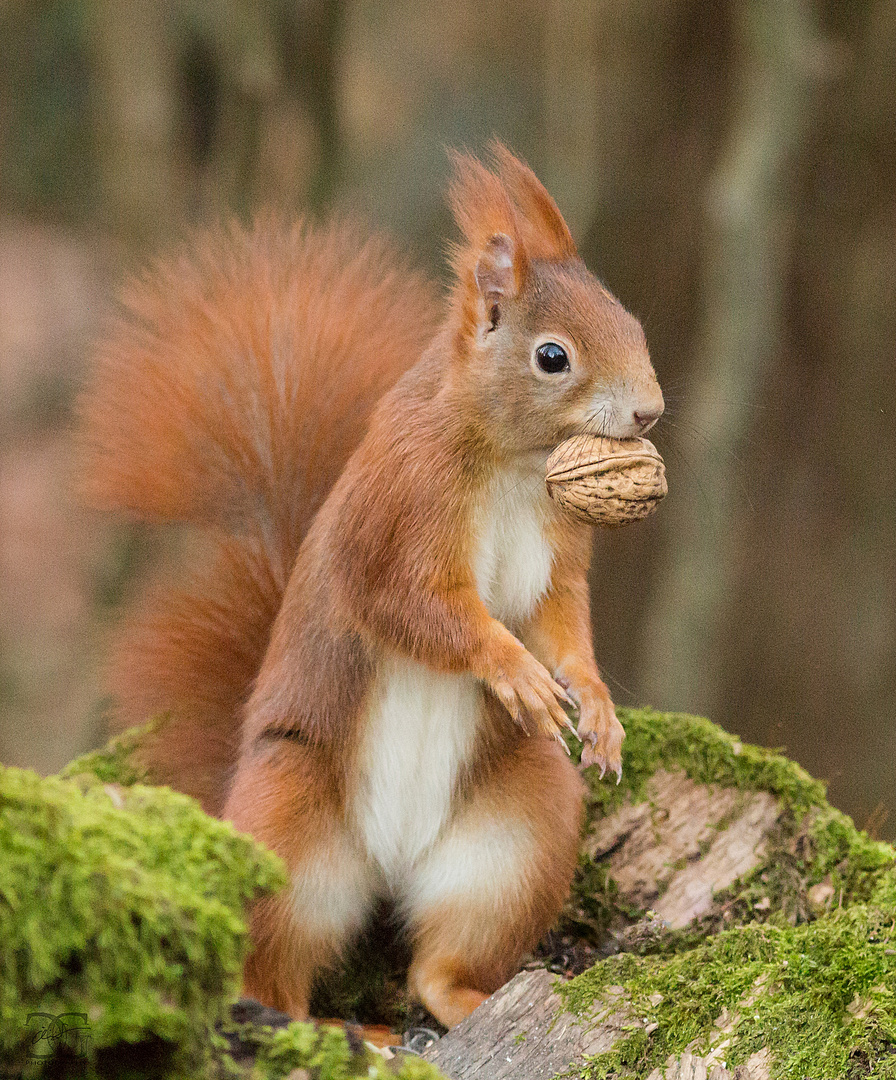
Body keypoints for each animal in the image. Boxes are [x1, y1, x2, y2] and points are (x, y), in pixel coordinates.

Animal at [78, 145, 664, 1028]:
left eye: (630, 320)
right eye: (553, 356)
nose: (650, 411)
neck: (514, 466)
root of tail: (392, 863)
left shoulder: (558, 554)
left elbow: (562, 625)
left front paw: (594, 707)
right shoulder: (396, 515)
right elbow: (417, 608)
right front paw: (514, 671)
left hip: (514, 841)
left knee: (437, 965)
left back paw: (461, 1004)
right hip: (286, 823)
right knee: (271, 971)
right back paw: (331, 1026)